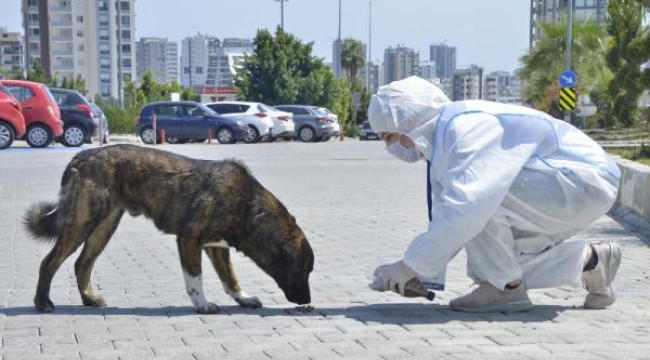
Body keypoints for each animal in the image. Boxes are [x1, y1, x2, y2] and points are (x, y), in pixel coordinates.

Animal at [26, 145, 316, 314]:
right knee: (49, 262)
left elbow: (230, 278)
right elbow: (195, 279)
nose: (307, 300)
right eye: (303, 270)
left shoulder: (216, 247)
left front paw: (242, 298)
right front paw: (202, 304)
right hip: (81, 222)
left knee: (82, 264)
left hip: (103, 227)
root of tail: (78, 157)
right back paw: (42, 303)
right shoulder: (189, 240)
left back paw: (89, 299)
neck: (247, 203)